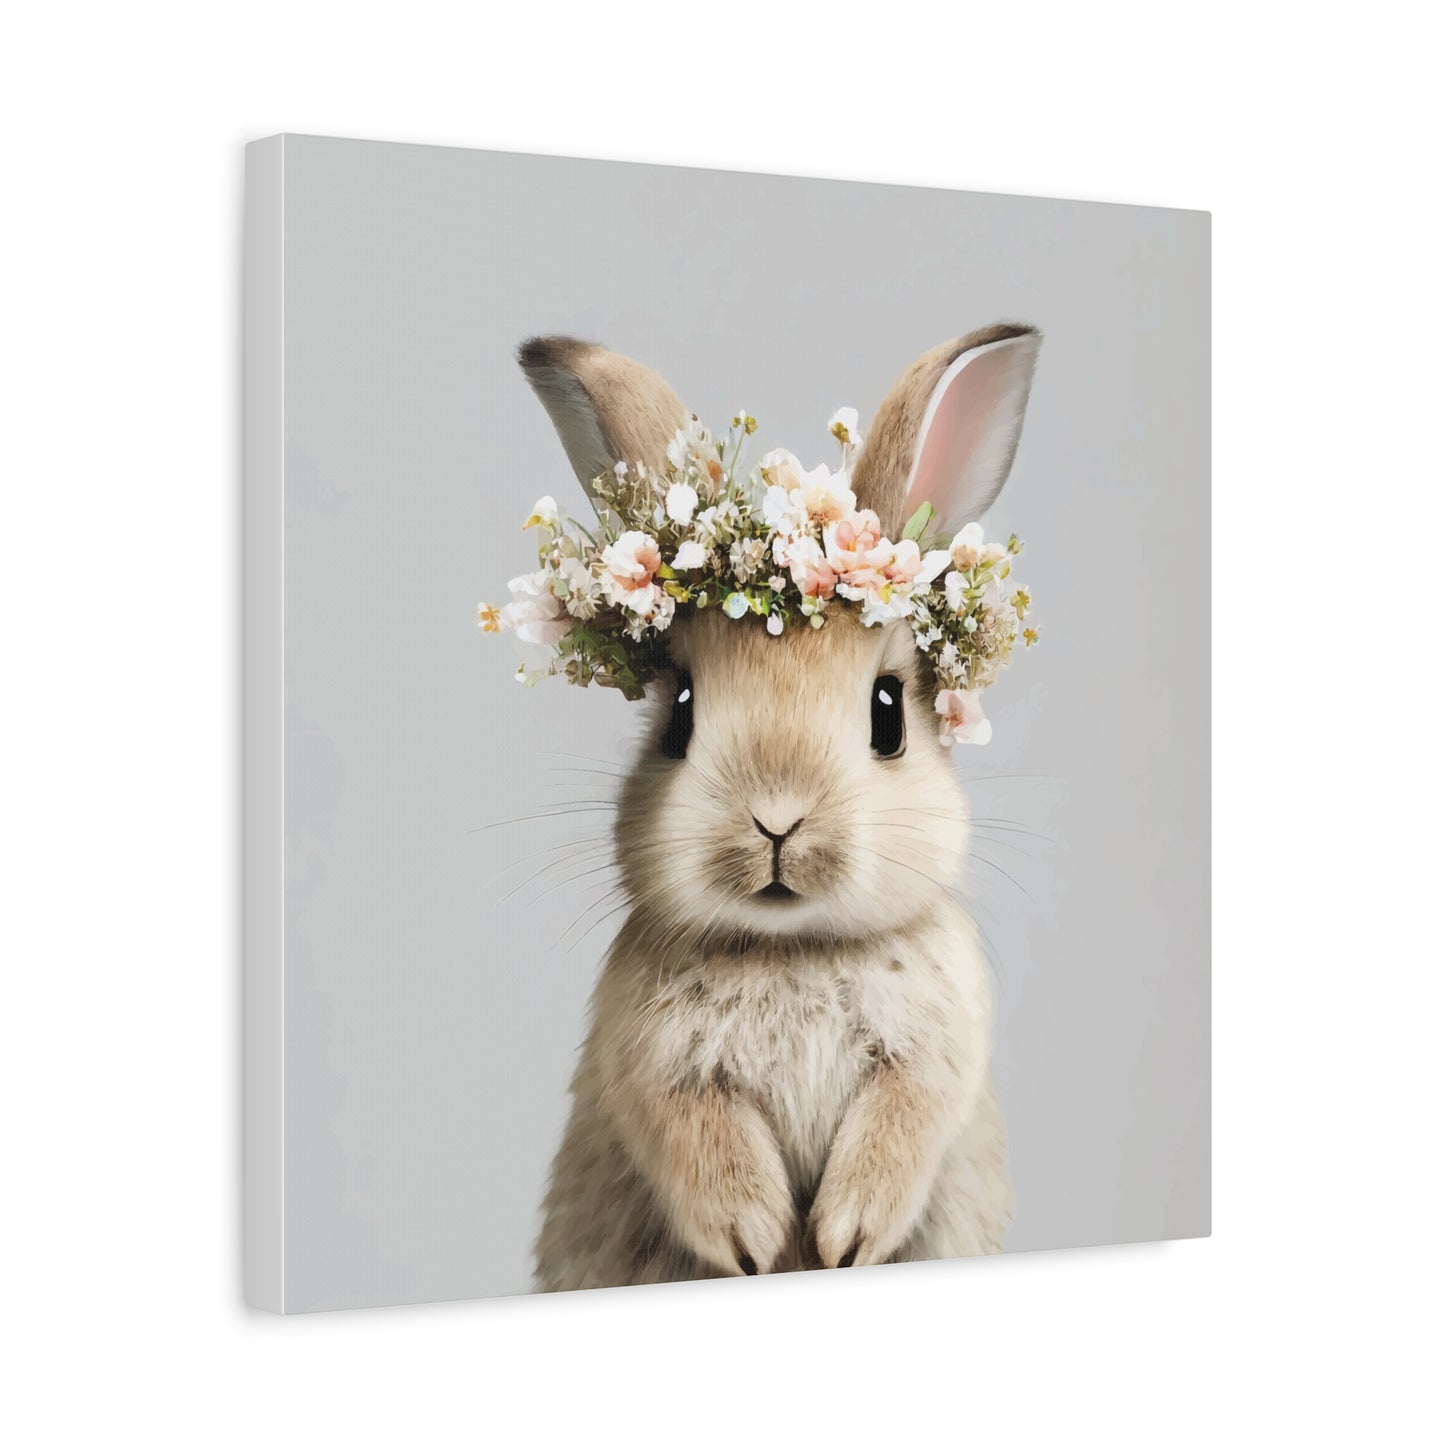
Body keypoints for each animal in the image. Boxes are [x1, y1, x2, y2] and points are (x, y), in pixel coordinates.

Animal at [518, 323, 1042, 1290]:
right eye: (679, 714)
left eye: (888, 714)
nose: (775, 820)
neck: (790, 949)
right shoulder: (652, 1068)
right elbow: (693, 1136)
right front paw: (757, 1240)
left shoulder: (934, 1053)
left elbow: (903, 1120)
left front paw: (843, 1237)